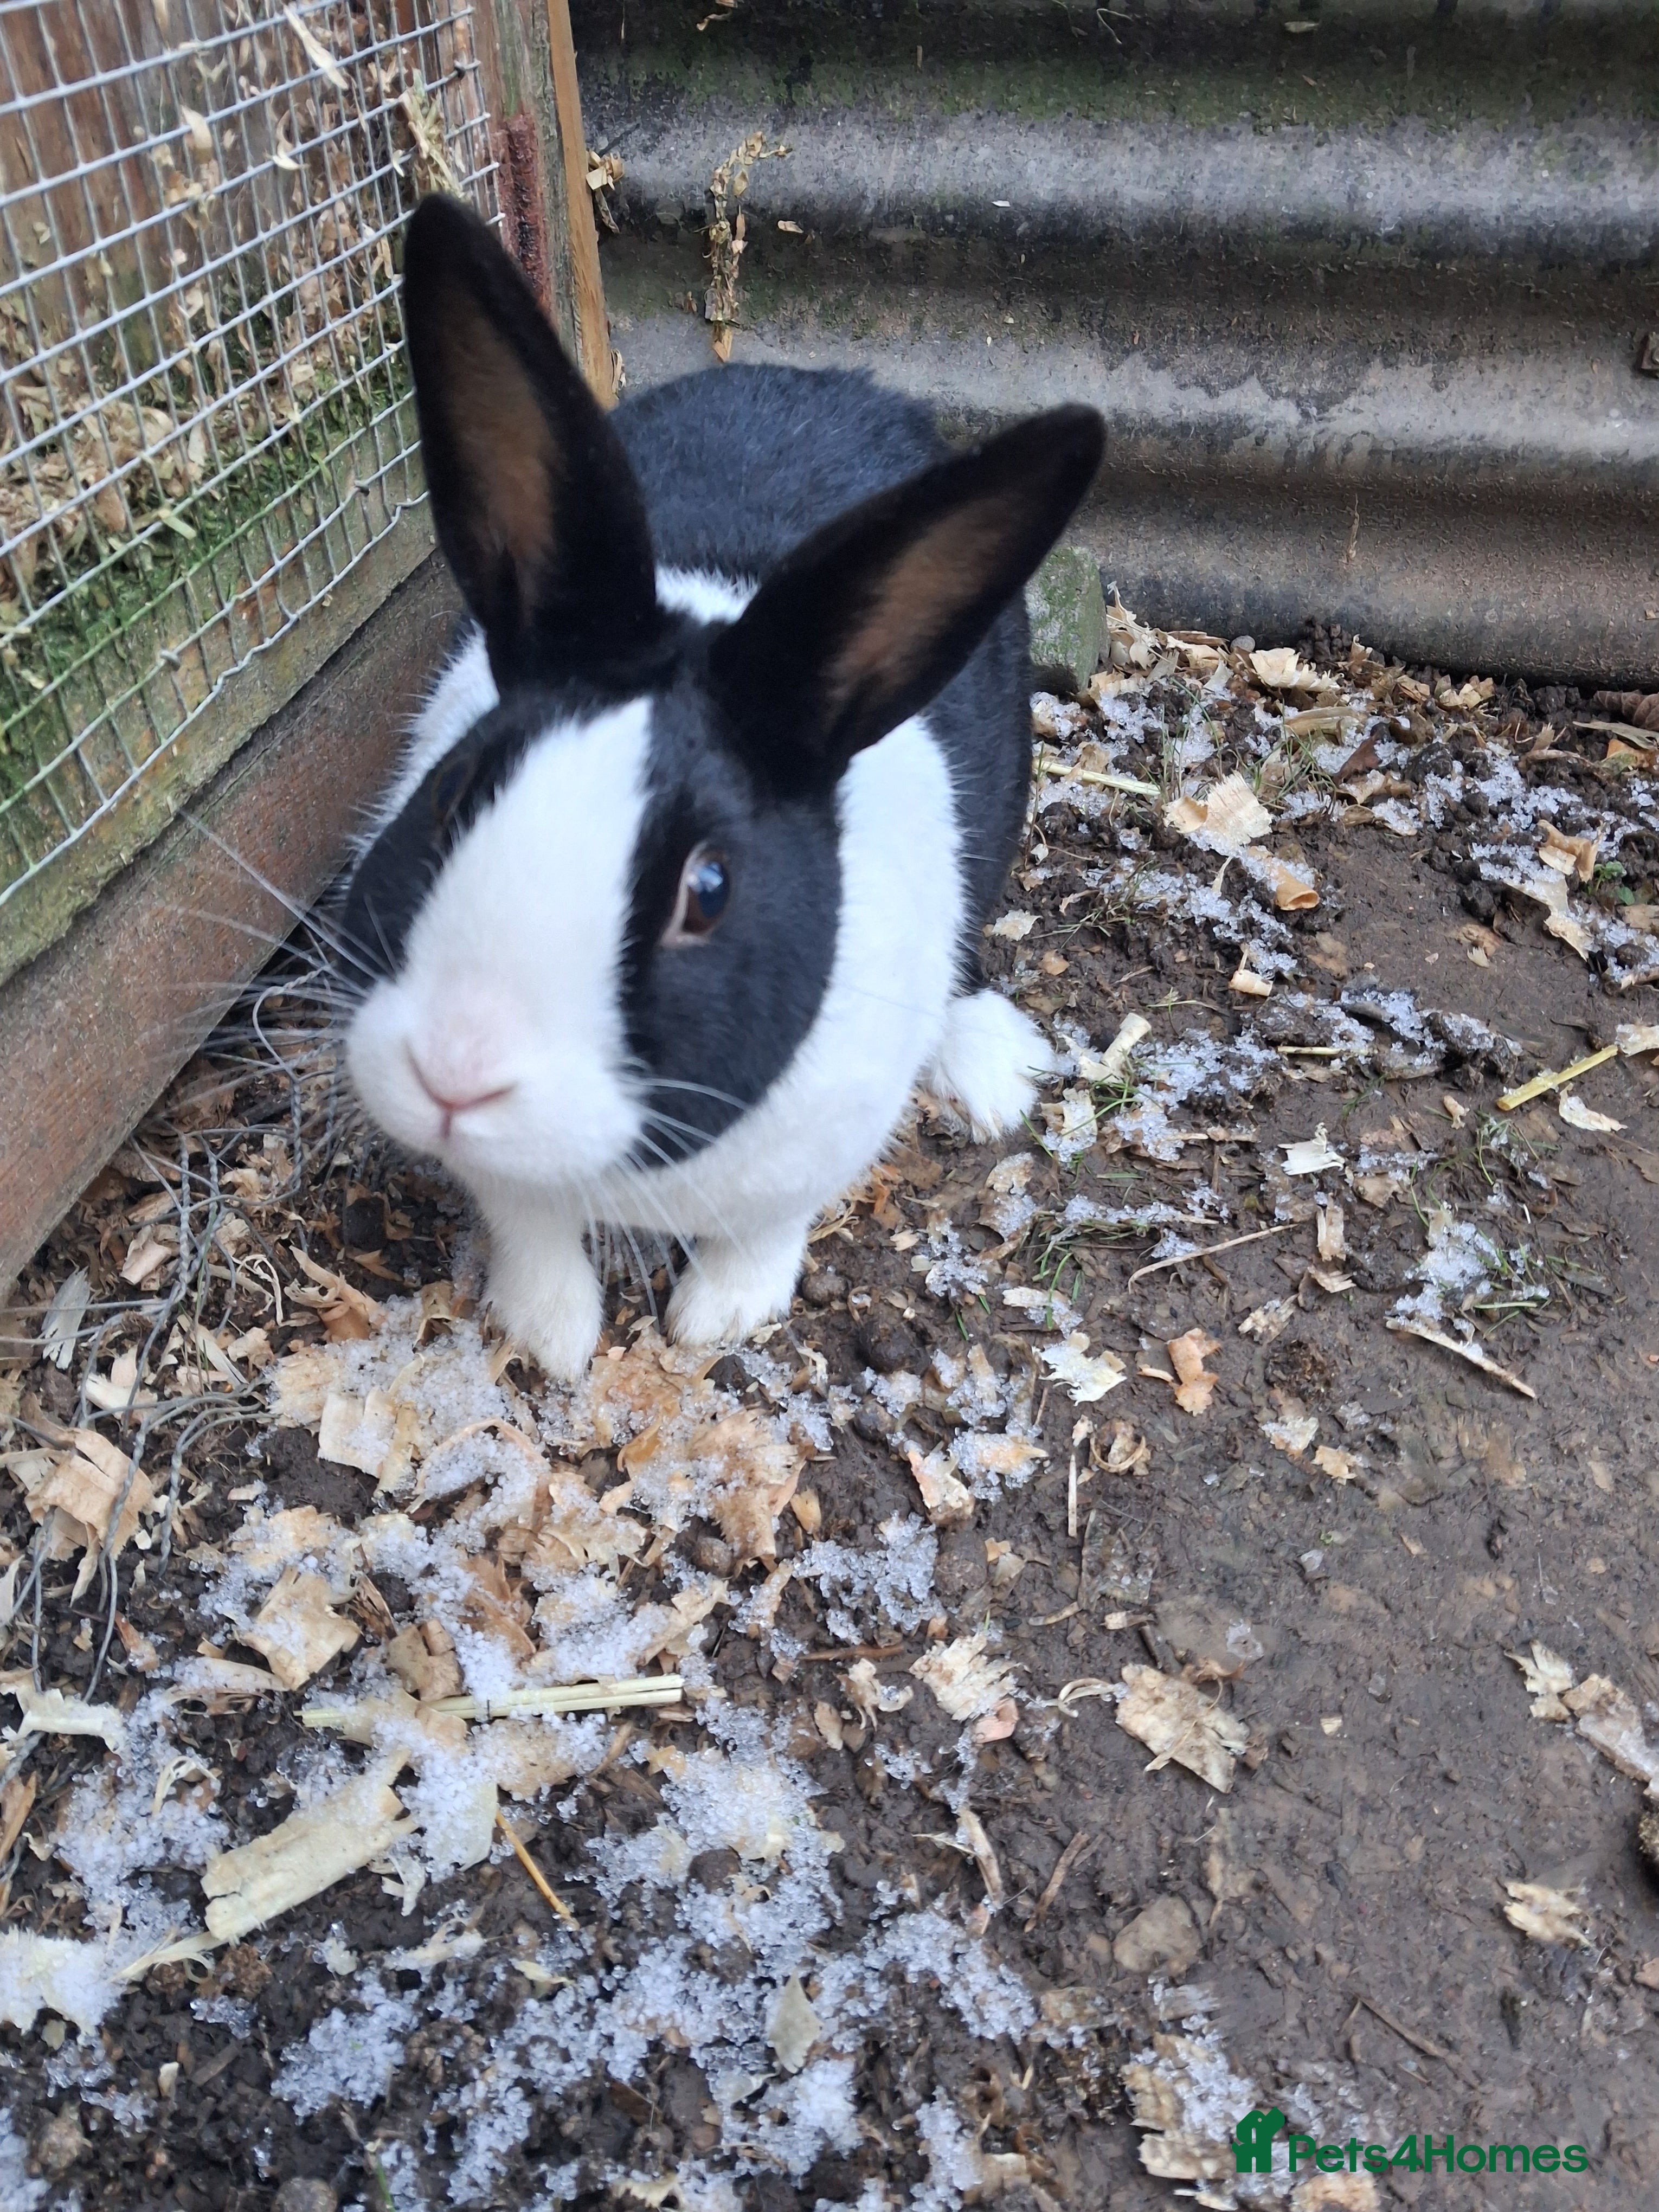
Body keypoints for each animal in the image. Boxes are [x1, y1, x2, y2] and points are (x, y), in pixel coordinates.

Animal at [342, 194, 1104, 1381]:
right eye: (455, 792)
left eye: (708, 891)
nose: (455, 1074)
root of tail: (839, 379)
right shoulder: (508, 1186)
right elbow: (530, 1227)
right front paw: (550, 1335)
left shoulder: (815, 1151)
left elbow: (763, 1232)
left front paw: (717, 1320)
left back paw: (989, 1069)